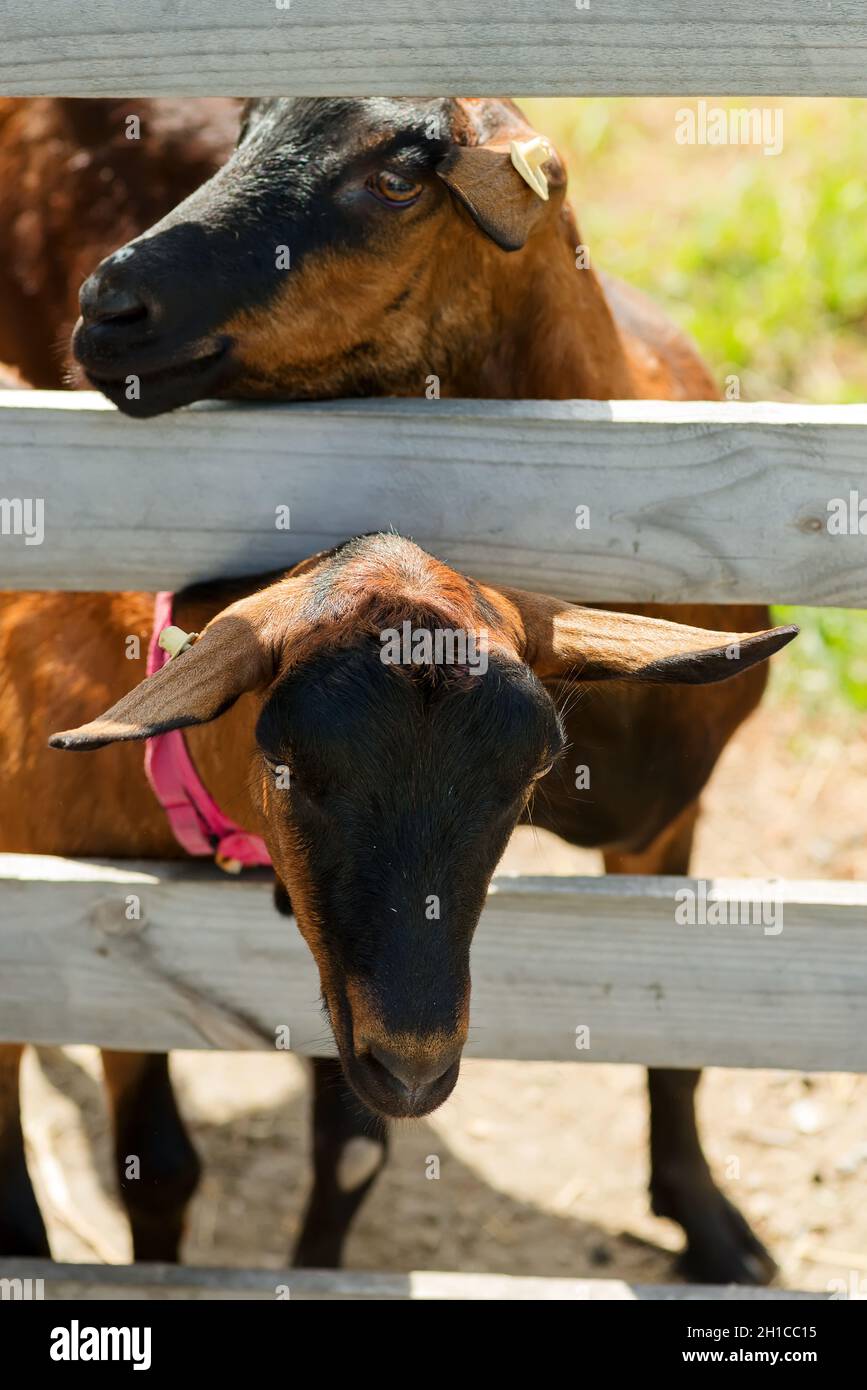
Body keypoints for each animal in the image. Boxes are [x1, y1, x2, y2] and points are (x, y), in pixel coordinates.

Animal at [0, 95, 783, 1278]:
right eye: (244, 131)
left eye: (399, 182)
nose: (107, 307)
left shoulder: (667, 822)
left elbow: (675, 1050)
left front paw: (708, 1220)